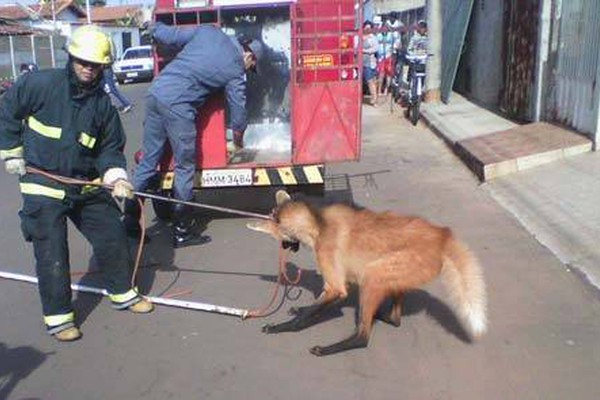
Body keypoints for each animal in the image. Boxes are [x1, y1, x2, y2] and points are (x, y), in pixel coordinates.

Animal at [248, 191, 488, 356]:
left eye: (280, 238)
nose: (286, 247)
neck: (318, 224)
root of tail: (443, 234)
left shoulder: (337, 287)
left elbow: (306, 315)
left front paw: (281, 327)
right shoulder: (339, 282)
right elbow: (313, 306)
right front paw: (299, 308)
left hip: (372, 276)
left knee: (363, 337)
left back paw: (329, 348)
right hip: (389, 276)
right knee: (395, 318)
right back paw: (382, 315)